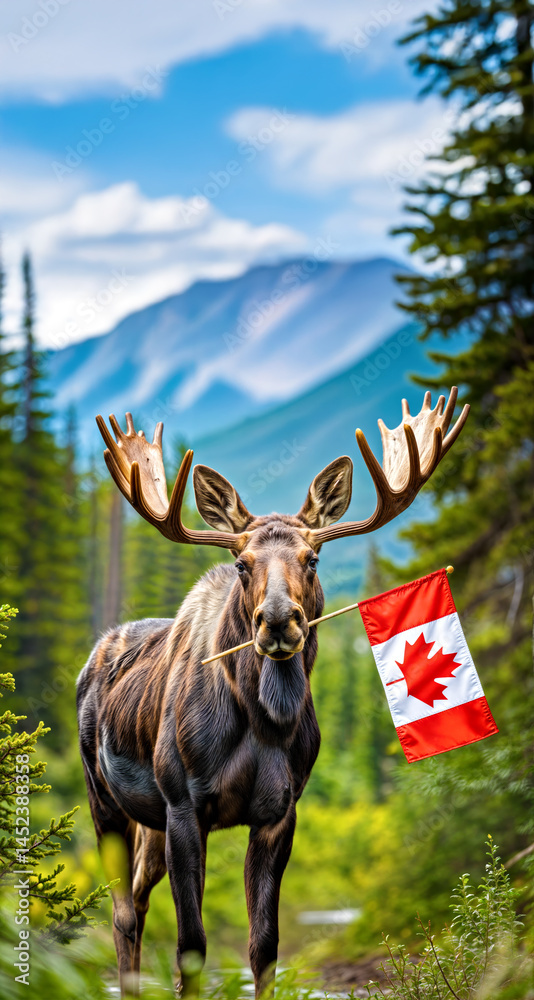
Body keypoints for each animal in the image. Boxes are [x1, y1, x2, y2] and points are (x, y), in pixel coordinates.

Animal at [77, 388, 469, 998]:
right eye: (241, 563)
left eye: (313, 558)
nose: (279, 619)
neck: (264, 719)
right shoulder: (183, 804)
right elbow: (192, 946)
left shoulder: (279, 812)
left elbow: (264, 946)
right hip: (105, 800)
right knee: (122, 914)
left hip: (149, 822)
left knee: (137, 901)